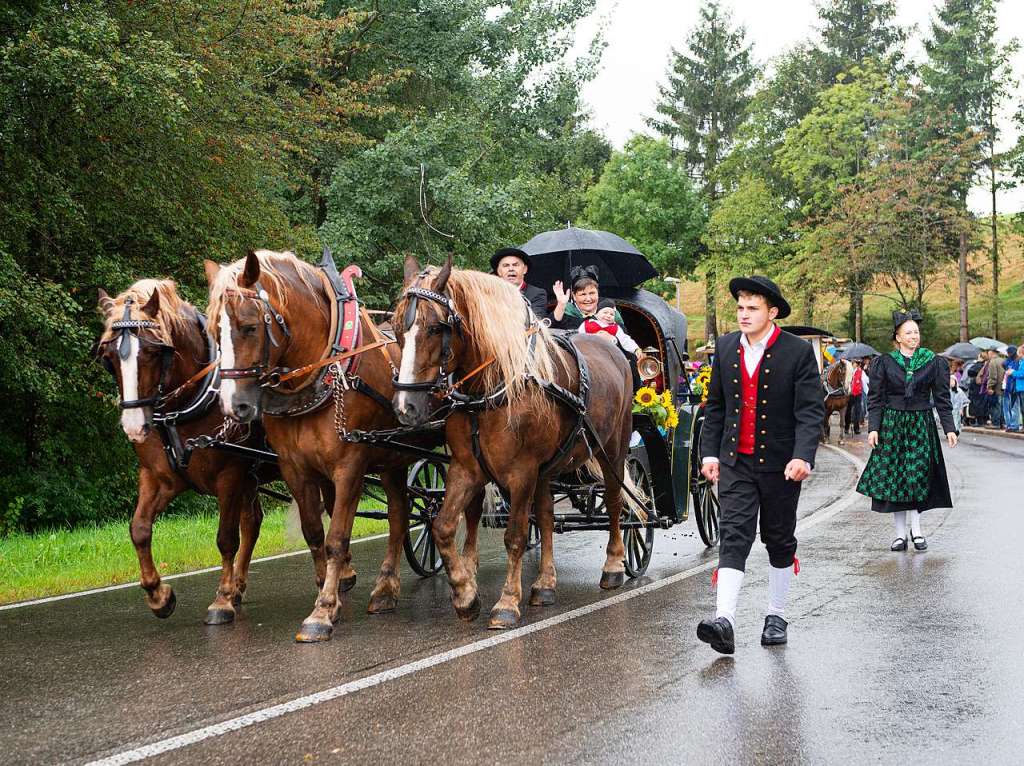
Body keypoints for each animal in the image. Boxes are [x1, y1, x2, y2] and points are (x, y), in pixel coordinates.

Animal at [93, 278, 272, 626]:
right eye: (108, 356)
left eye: (152, 352)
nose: (134, 426)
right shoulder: (159, 477)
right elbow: (139, 529)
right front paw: (158, 595)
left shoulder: (230, 474)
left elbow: (225, 537)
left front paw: (221, 600)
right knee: (253, 521)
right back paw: (240, 586)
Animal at [206, 249, 483, 639]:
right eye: (213, 329)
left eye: (249, 327)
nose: (236, 406)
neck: (323, 373)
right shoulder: (296, 469)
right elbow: (314, 534)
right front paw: (330, 593)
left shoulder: (349, 465)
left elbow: (337, 539)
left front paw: (322, 611)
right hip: (392, 459)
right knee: (399, 516)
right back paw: (385, 590)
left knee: (467, 506)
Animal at [395, 257, 634, 626]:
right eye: (397, 329)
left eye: (435, 328)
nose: (406, 407)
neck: (490, 389)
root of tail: (613, 351)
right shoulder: (466, 469)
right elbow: (444, 526)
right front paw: (465, 596)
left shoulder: (521, 473)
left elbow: (515, 536)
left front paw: (506, 603)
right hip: (548, 468)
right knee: (547, 515)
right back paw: (544, 585)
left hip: (614, 450)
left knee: (613, 501)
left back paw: (613, 566)